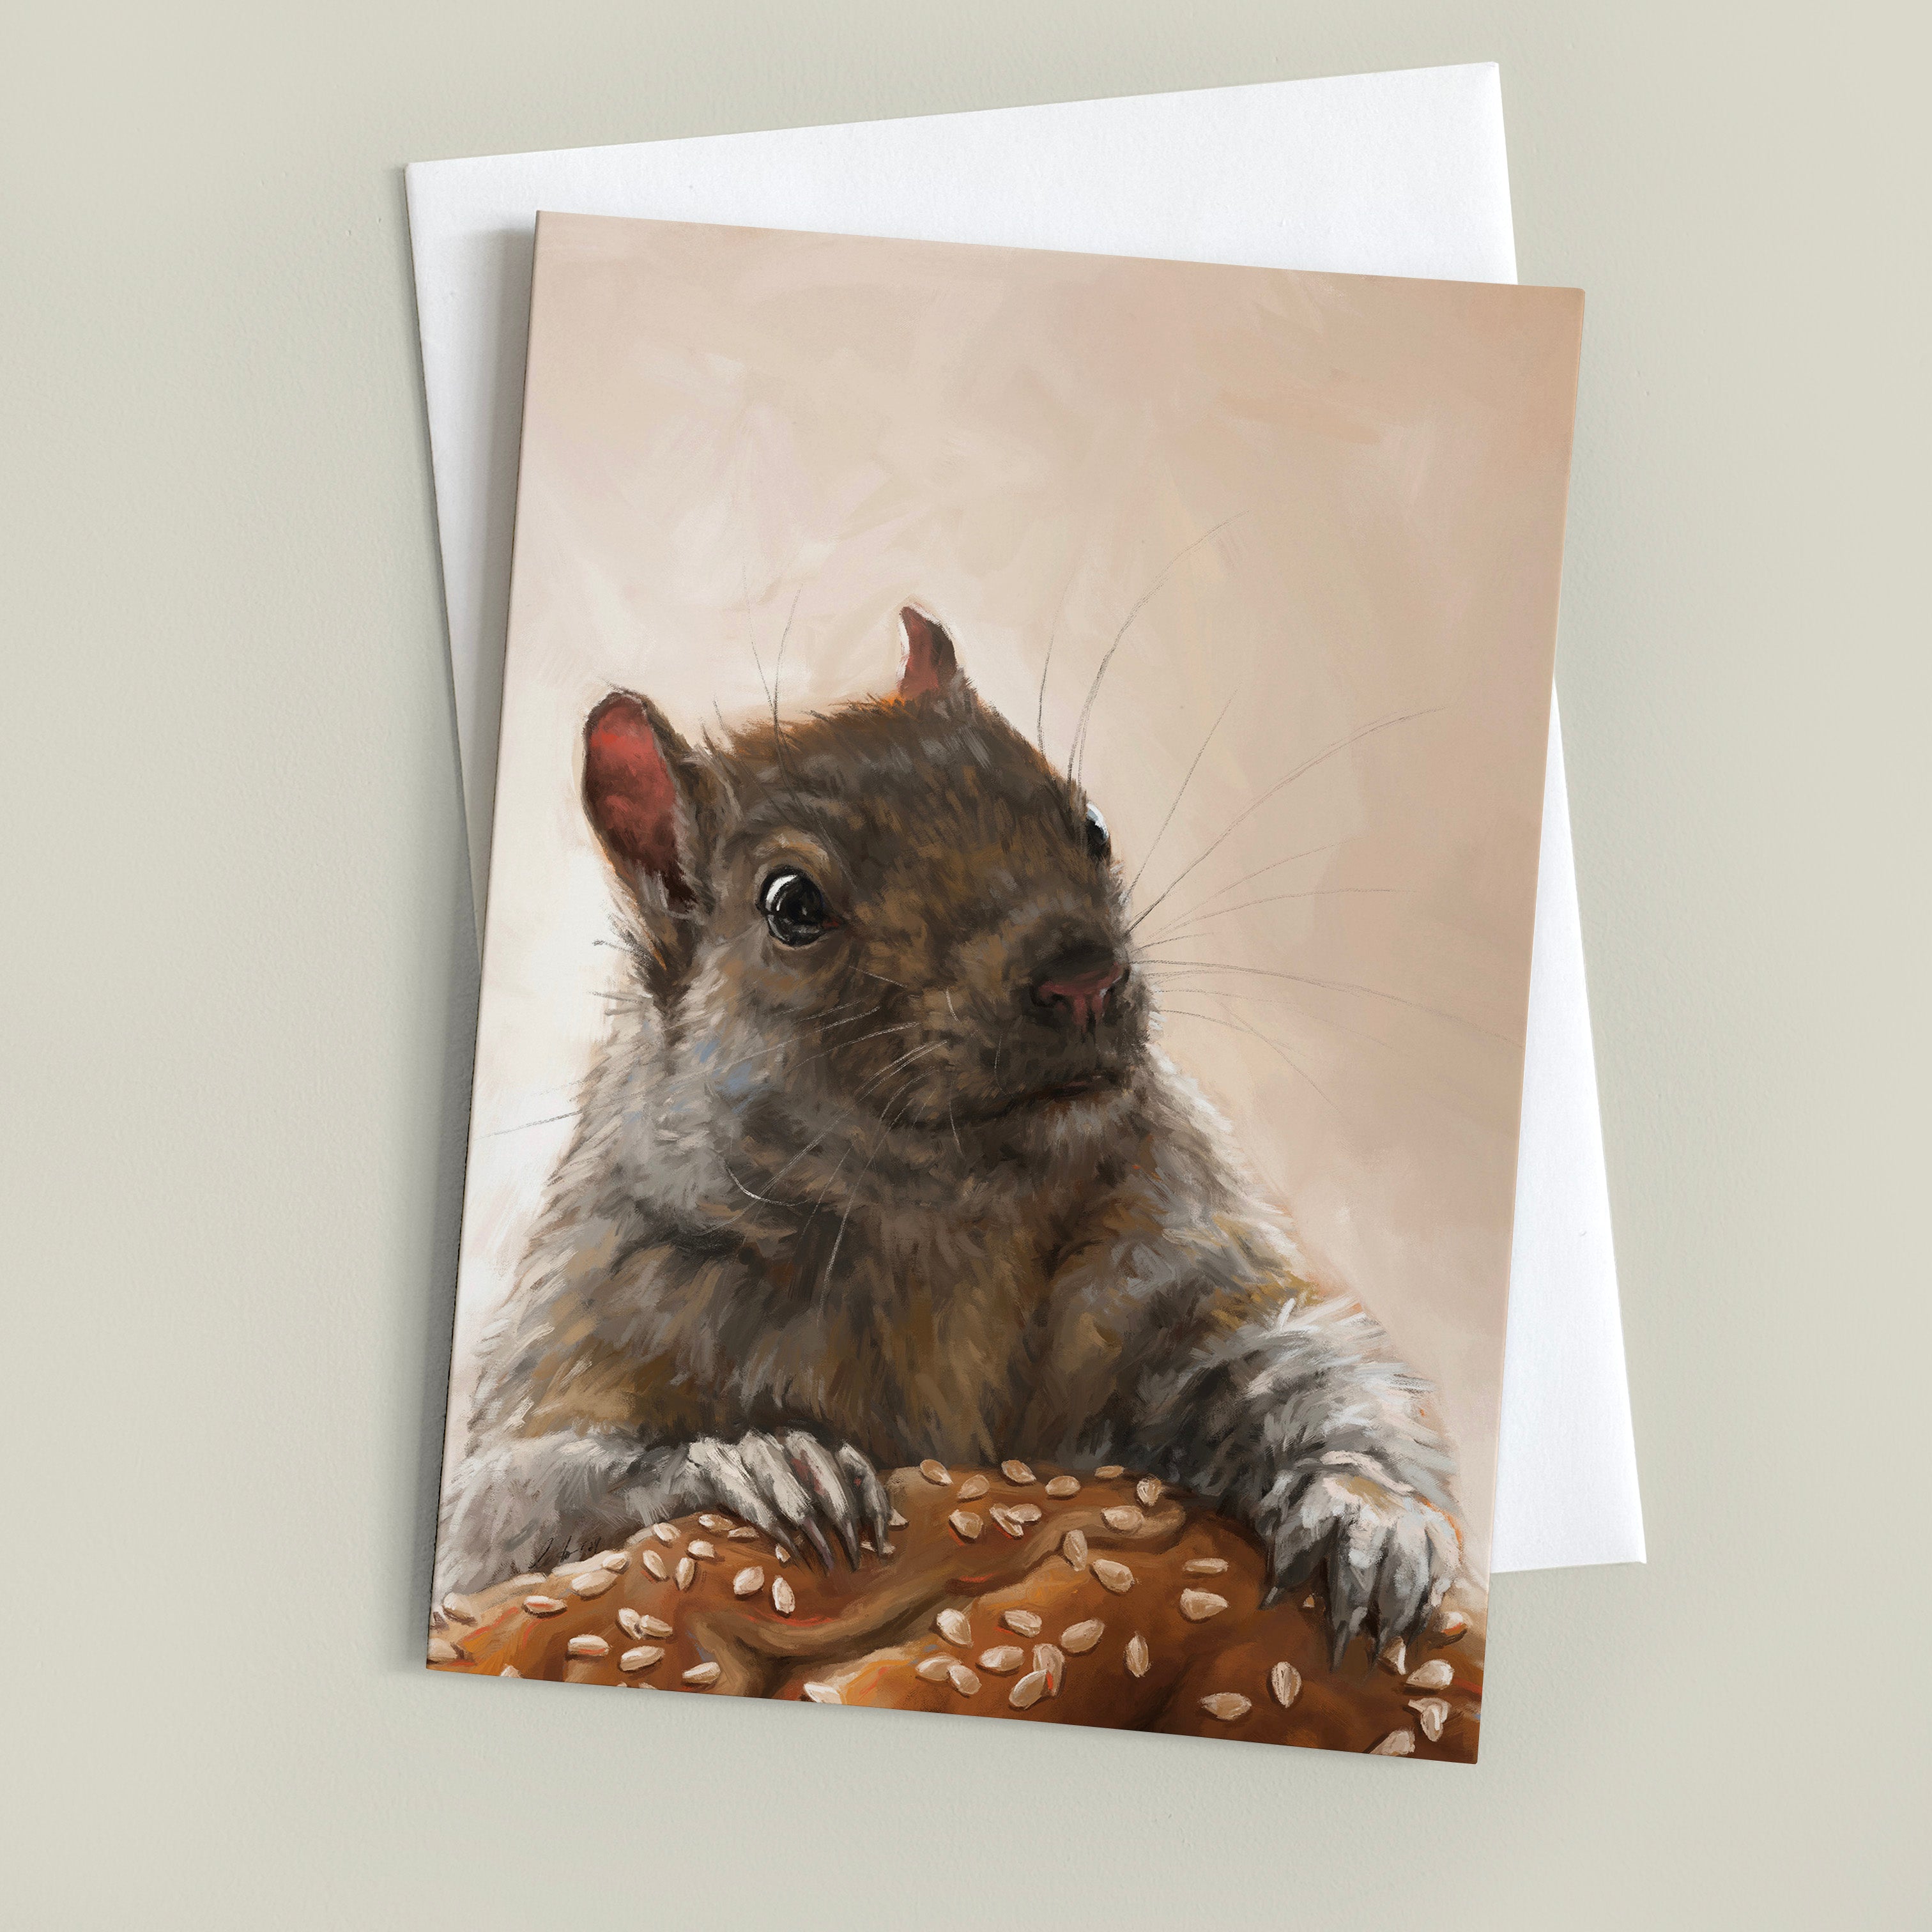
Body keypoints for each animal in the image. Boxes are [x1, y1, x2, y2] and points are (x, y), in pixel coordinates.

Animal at [437, 606, 1463, 1667]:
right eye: (791, 905)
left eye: (1092, 825)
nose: (1083, 975)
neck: (948, 1222)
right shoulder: (603, 1301)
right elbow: (505, 1513)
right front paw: (765, 1461)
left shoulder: (1173, 1252)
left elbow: (1305, 1363)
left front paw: (1369, 1515)